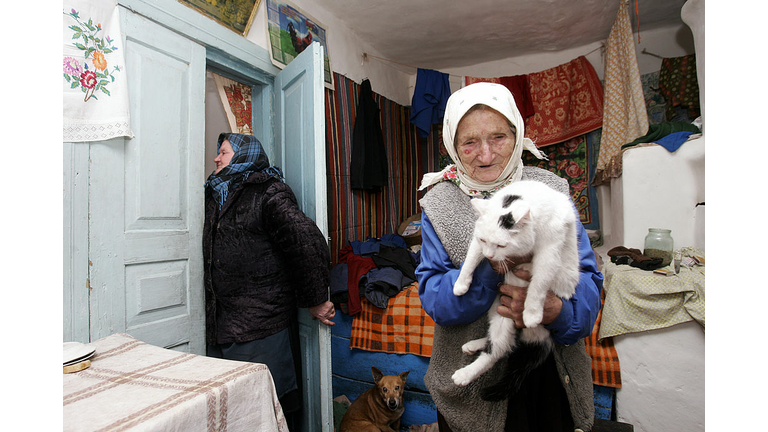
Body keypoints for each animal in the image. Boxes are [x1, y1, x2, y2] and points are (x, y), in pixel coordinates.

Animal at [450, 179, 576, 394]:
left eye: (501, 245)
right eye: (484, 240)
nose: (490, 256)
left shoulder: (549, 251)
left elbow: (539, 283)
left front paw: (532, 313)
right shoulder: (477, 241)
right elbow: (470, 259)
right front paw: (460, 284)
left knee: (496, 353)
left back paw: (464, 374)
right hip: (498, 311)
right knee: (498, 344)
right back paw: (474, 346)